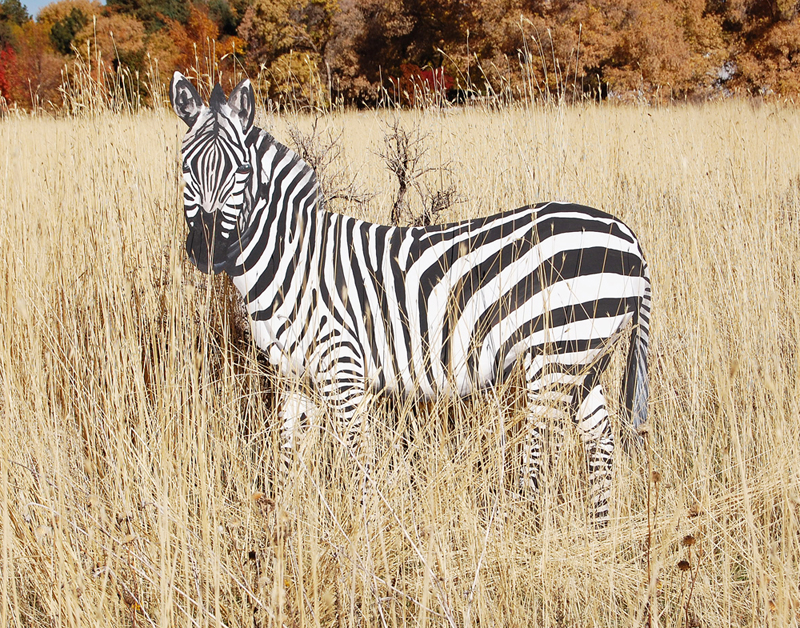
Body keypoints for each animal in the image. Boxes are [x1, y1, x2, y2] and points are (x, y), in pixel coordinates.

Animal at [170, 72, 651, 524]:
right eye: (185, 168)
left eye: (241, 173)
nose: (207, 250)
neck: (292, 260)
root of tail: (627, 235)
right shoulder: (295, 379)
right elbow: (287, 464)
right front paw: (282, 533)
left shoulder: (344, 371)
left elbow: (358, 465)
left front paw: (363, 538)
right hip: (583, 360)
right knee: (600, 442)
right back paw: (599, 533)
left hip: (556, 356)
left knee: (543, 450)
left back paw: (525, 526)